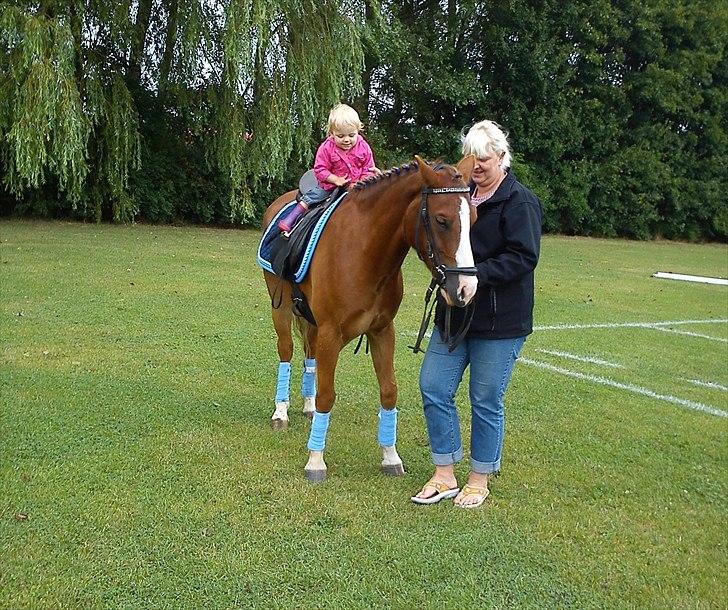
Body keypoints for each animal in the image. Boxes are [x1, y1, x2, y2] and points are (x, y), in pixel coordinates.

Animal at [261, 155, 478, 482]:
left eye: (474, 218)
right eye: (442, 220)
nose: (467, 288)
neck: (365, 252)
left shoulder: (382, 331)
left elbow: (389, 391)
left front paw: (390, 456)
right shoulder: (331, 333)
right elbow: (327, 395)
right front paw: (316, 461)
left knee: (309, 355)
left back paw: (307, 406)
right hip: (282, 308)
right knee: (286, 352)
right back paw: (281, 411)